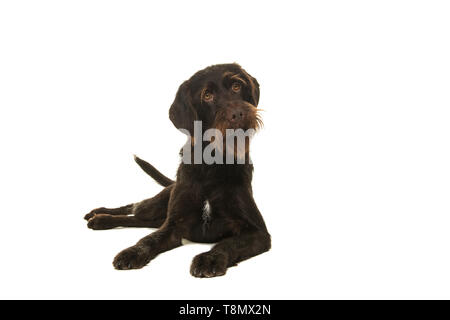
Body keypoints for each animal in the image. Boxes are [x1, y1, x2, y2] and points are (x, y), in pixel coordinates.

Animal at [84, 63, 270, 278]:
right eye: (207, 96)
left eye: (236, 86)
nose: (239, 113)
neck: (212, 166)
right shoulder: (173, 225)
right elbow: (148, 240)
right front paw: (132, 252)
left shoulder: (258, 232)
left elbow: (228, 243)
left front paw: (210, 258)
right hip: (156, 207)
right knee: (134, 208)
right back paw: (99, 214)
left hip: (156, 217)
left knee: (137, 219)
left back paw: (101, 220)